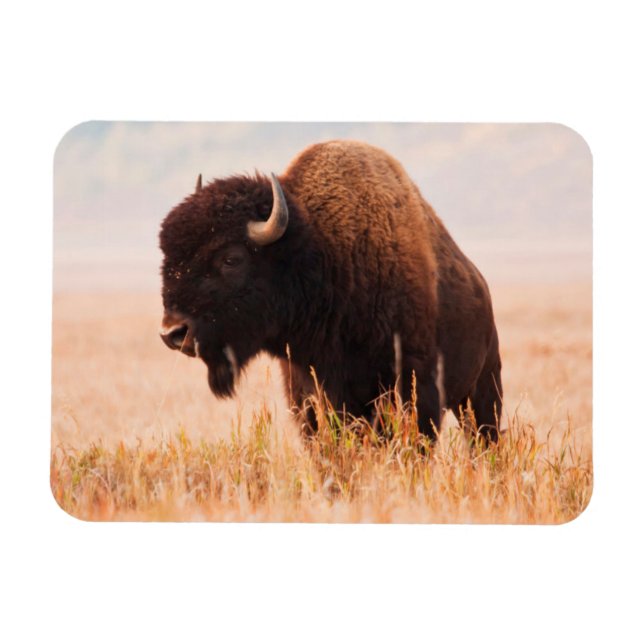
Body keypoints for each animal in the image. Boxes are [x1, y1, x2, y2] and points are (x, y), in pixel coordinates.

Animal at [159, 141, 502, 441]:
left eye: (231, 259)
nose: (173, 332)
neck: (324, 254)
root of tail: (480, 284)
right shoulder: (308, 394)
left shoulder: (415, 388)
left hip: (482, 390)